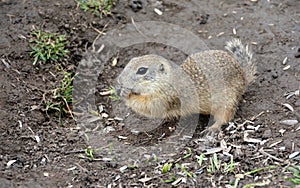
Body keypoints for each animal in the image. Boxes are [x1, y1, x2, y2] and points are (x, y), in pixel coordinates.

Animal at [116, 38, 256, 138]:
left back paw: (212, 128)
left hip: (227, 102)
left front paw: (124, 93)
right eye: (130, 61)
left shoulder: (166, 97)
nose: (119, 81)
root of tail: (243, 78)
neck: (165, 80)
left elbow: (149, 107)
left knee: (225, 117)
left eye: (142, 70)